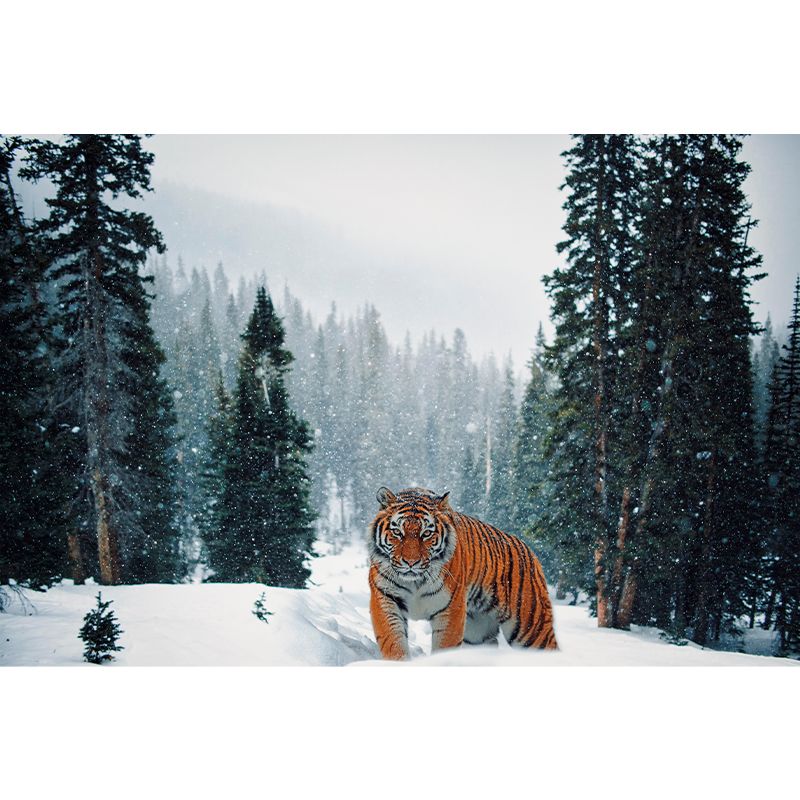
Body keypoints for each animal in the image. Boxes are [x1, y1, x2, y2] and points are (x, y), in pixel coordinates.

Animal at [367, 486, 558, 660]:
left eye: (426, 533)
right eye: (397, 532)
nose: (411, 562)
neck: (415, 581)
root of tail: (529, 551)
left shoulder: (450, 609)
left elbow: (445, 646)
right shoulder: (386, 599)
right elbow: (393, 641)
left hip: (531, 627)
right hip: (477, 631)